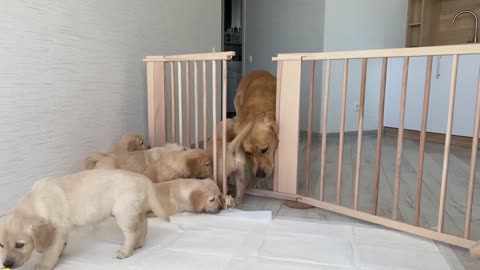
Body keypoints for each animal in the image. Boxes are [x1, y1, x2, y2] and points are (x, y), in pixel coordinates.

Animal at [0, 170, 169, 268]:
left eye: (20, 245)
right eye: (1, 245)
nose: (6, 263)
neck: (37, 202)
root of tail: (142, 178)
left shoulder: (58, 231)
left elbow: (51, 252)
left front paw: (44, 265)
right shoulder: (61, 232)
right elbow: (60, 246)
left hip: (123, 212)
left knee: (132, 233)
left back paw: (125, 251)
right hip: (132, 210)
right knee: (143, 223)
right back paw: (139, 244)